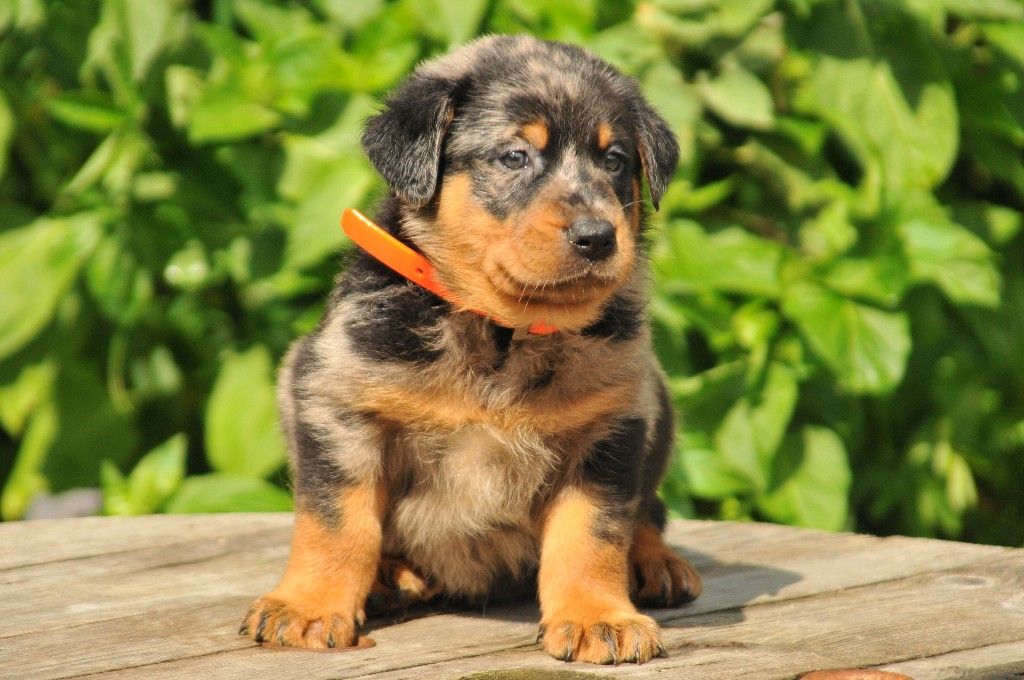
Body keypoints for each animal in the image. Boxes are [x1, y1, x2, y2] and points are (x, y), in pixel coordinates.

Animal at [240, 34, 702, 665]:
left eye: (615, 160)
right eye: (513, 157)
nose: (597, 236)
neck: (502, 335)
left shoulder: (611, 424)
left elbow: (594, 532)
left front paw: (599, 618)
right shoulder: (338, 401)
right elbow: (337, 520)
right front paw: (308, 606)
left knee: (647, 511)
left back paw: (658, 563)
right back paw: (390, 577)